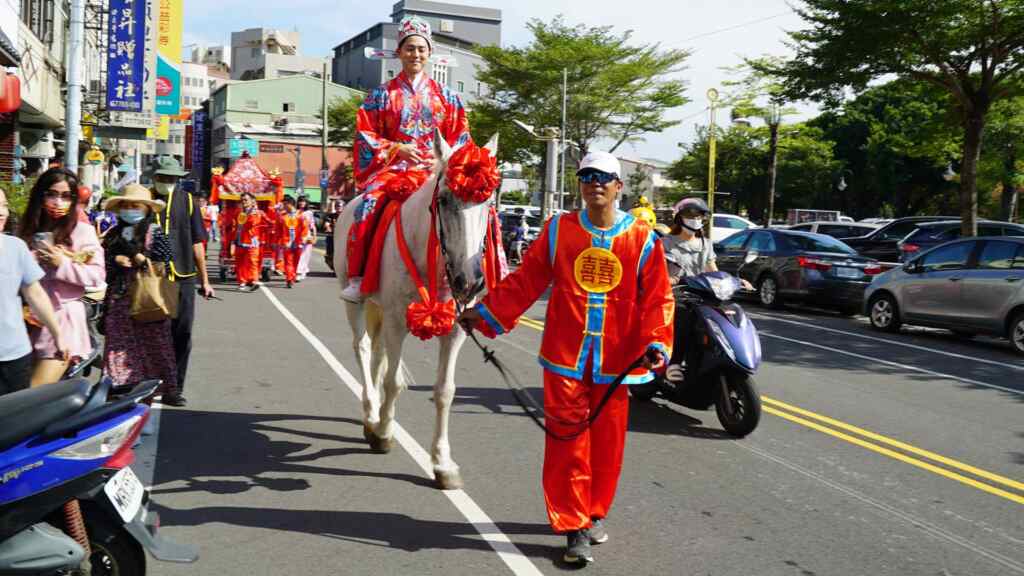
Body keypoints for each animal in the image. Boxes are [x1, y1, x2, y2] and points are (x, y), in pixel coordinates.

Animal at [333, 131, 497, 487]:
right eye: (445, 199)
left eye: (488, 203)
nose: (470, 281)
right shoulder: (397, 320)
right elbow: (394, 382)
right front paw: (383, 433)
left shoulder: (455, 329)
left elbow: (445, 391)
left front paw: (443, 463)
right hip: (356, 300)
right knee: (362, 348)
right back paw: (371, 412)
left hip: (379, 309)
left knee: (377, 354)